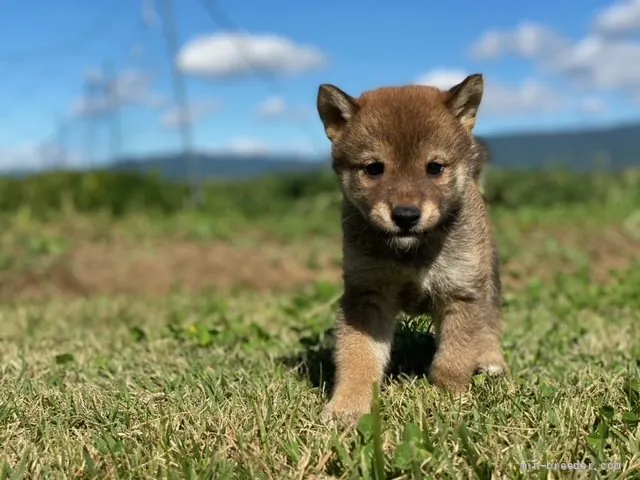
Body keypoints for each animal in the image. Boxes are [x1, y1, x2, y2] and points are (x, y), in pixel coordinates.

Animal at [318, 73, 508, 422]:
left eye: (434, 167)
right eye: (374, 168)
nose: (406, 216)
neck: (412, 254)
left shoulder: (462, 292)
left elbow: (455, 356)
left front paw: (451, 398)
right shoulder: (367, 294)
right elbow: (358, 357)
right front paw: (347, 407)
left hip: (487, 279)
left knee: (490, 322)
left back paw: (492, 360)